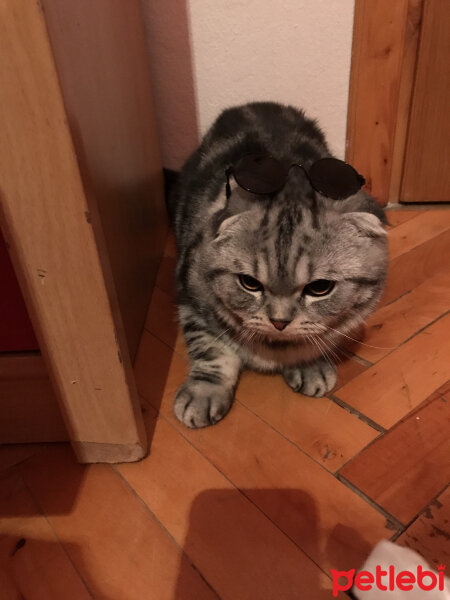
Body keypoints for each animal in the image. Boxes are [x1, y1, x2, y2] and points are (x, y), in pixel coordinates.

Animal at [171, 102, 386, 426]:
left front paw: (310, 365)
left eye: (320, 287)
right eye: (249, 283)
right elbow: (210, 349)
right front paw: (203, 392)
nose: (279, 322)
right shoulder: (191, 297)